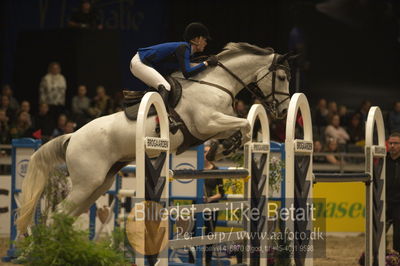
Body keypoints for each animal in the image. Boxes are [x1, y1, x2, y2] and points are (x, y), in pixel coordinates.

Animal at [15, 41, 292, 233]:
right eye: (281, 77)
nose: (283, 111)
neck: (216, 83)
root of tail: (72, 136)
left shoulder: (215, 124)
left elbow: (238, 126)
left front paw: (223, 148)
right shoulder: (207, 122)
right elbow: (245, 123)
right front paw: (228, 146)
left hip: (99, 184)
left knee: (66, 216)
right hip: (87, 182)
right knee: (57, 215)